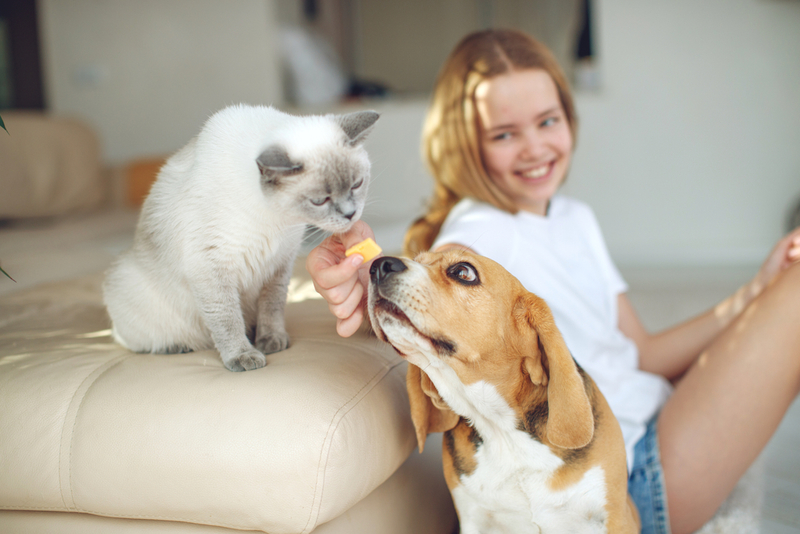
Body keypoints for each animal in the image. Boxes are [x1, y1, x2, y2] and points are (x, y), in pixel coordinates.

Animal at [103, 104, 378, 372]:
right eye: (320, 200)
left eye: (357, 184)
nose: (350, 214)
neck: (277, 219)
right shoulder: (211, 266)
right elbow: (227, 319)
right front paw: (243, 356)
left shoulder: (280, 263)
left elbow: (273, 306)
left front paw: (271, 341)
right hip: (125, 281)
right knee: (130, 339)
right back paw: (174, 346)